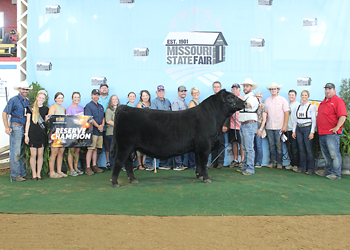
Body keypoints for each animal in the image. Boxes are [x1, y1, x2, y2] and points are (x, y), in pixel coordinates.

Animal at [110, 90, 245, 188]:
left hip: (130, 147)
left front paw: (199, 176)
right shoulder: (205, 144)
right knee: (119, 161)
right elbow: (203, 162)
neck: (212, 116)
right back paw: (115, 183)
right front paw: (206, 178)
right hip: (124, 145)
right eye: (231, 97)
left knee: (128, 162)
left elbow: (198, 162)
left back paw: (133, 179)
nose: (244, 102)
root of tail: (124, 108)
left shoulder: (198, 147)